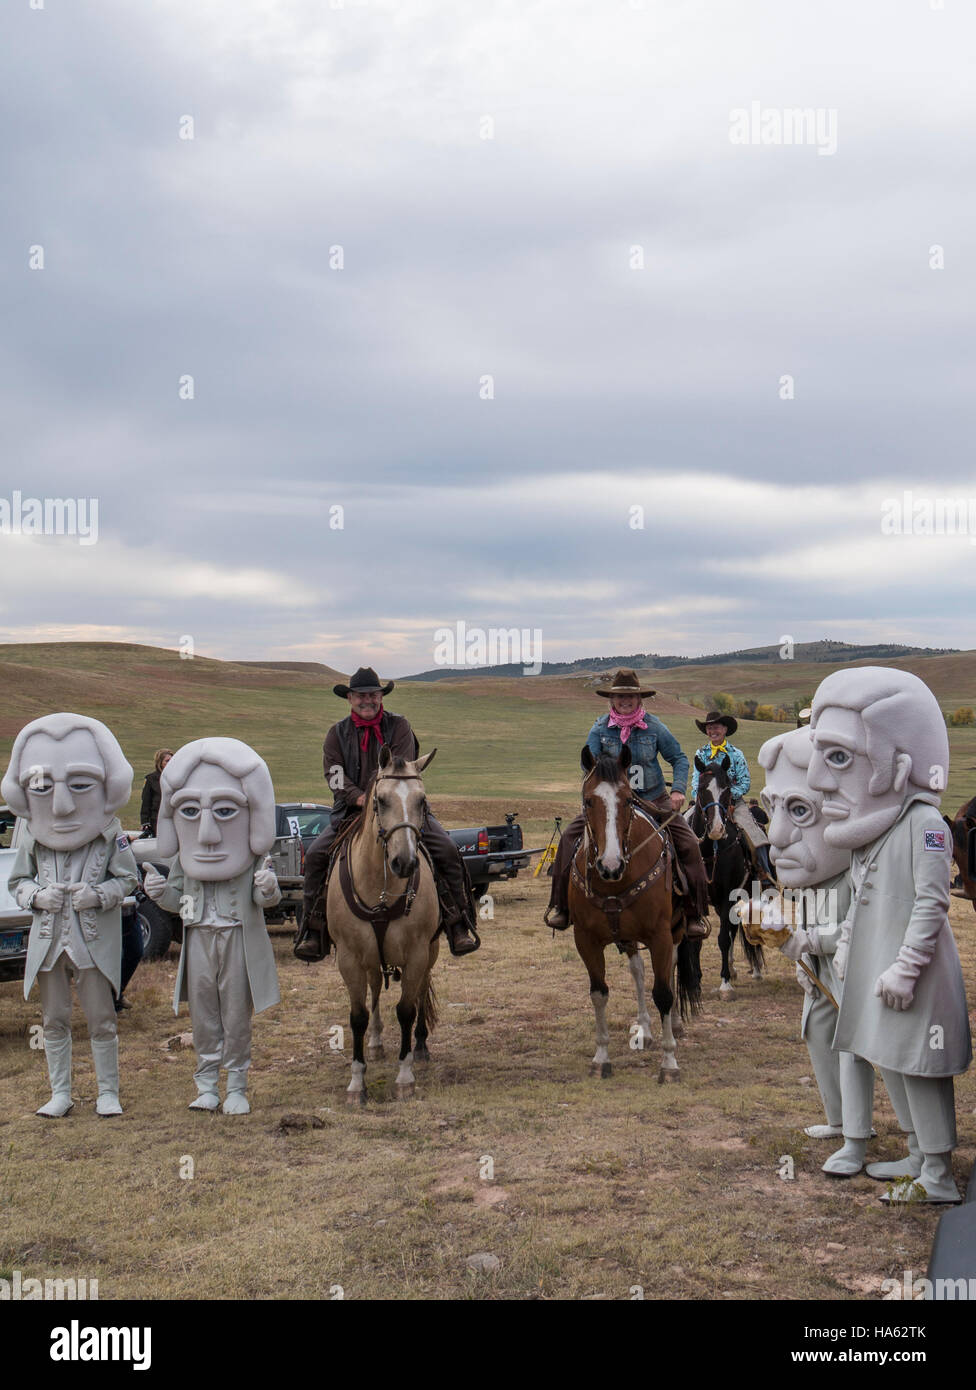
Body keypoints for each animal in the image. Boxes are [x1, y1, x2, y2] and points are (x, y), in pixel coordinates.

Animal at [330, 745, 442, 1100]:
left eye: (422, 800)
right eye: (380, 800)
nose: (403, 862)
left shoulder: (417, 953)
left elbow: (407, 1009)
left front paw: (405, 1077)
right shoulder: (350, 958)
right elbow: (358, 1016)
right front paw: (357, 1082)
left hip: (430, 951)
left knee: (419, 992)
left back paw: (420, 1046)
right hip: (369, 959)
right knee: (376, 987)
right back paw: (376, 1043)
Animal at [567, 750, 703, 1084]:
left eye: (628, 799)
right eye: (589, 800)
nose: (610, 865)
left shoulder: (660, 936)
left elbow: (664, 993)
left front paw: (669, 1064)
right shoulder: (585, 940)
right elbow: (599, 993)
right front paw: (601, 1058)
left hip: (676, 930)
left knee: (672, 967)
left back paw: (674, 1026)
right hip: (627, 936)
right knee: (638, 971)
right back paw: (645, 1031)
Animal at [689, 750, 767, 1000]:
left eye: (727, 790)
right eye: (702, 789)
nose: (716, 830)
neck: (709, 852)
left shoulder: (727, 896)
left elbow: (723, 938)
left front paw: (725, 985)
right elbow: (698, 938)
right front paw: (696, 981)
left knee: (739, 930)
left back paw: (751, 970)